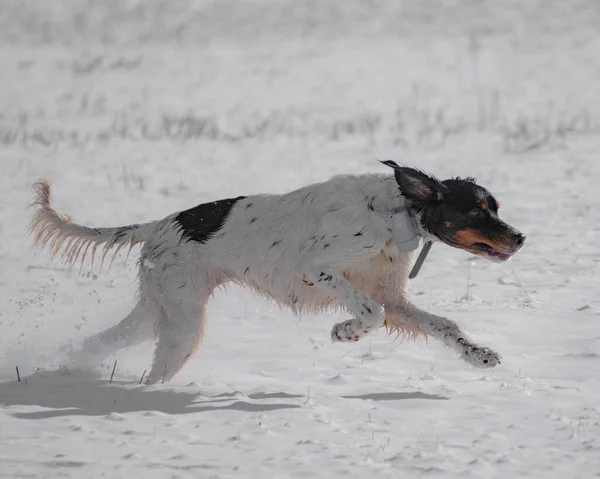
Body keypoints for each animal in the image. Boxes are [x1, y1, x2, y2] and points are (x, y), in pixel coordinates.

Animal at [28, 163, 524, 384]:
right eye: (477, 210)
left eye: (495, 207)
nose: (520, 238)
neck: (396, 214)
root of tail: (159, 224)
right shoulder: (319, 268)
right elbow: (371, 312)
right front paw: (344, 332)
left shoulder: (394, 295)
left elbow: (443, 325)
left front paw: (479, 355)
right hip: (183, 323)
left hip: (160, 312)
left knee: (101, 341)